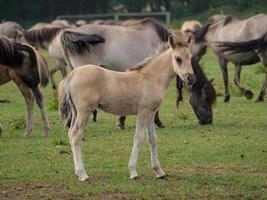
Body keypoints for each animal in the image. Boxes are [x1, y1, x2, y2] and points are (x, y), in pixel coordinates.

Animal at [58, 31, 197, 181]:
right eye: (178, 59)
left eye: (190, 57)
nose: (190, 78)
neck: (151, 78)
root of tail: (72, 75)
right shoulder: (143, 112)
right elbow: (139, 138)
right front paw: (133, 171)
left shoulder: (151, 113)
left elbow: (152, 139)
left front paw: (159, 172)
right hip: (85, 112)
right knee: (75, 135)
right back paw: (83, 174)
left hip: (75, 112)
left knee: (70, 133)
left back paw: (78, 173)